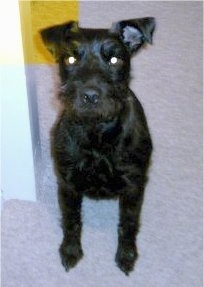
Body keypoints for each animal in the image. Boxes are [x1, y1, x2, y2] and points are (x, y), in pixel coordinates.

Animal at [40, 16, 155, 276]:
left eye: (114, 59)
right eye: (70, 59)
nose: (90, 95)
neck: (97, 134)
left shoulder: (133, 187)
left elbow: (129, 222)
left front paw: (126, 254)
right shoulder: (68, 185)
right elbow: (71, 220)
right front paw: (71, 250)